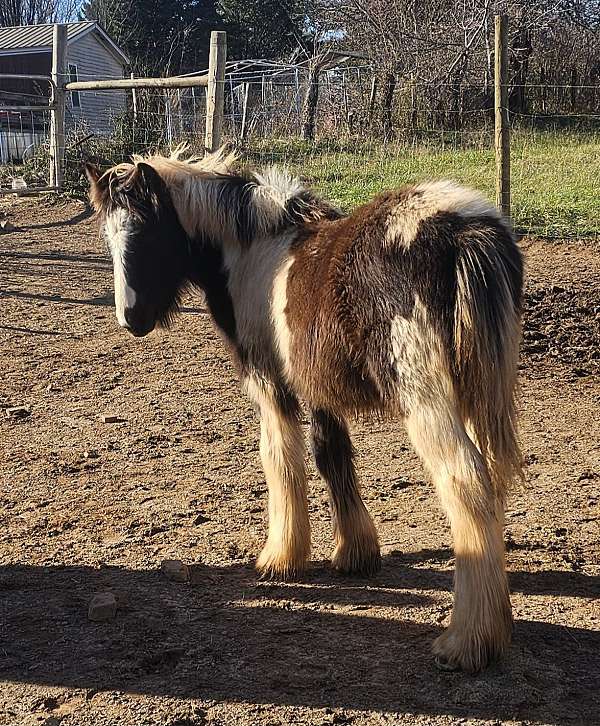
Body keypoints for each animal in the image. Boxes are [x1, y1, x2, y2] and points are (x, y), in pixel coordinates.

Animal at [86, 149, 524, 676]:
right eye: (108, 237)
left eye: (148, 232)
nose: (131, 319)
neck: (252, 252)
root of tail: (463, 230)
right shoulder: (317, 388)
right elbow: (332, 456)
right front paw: (355, 553)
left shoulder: (269, 384)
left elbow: (280, 460)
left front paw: (281, 556)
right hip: (479, 393)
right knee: (491, 483)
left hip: (426, 398)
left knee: (467, 484)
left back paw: (467, 640)